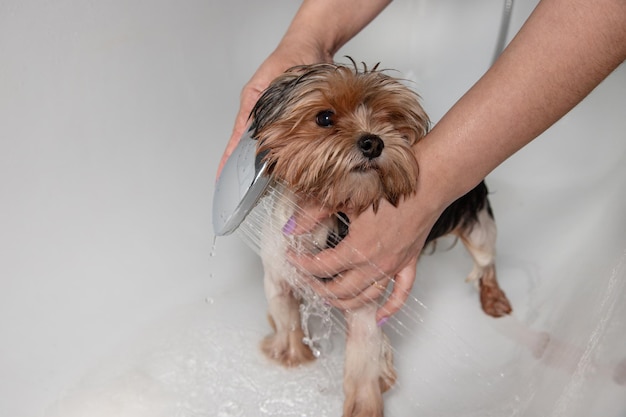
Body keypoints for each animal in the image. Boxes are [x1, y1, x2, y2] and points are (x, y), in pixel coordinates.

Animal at [246, 61, 510, 416]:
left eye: (390, 119)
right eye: (324, 117)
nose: (373, 142)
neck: (325, 213)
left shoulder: (361, 290)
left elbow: (361, 359)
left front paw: (365, 406)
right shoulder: (278, 270)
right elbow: (285, 313)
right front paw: (288, 355)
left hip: (477, 218)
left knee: (486, 259)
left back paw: (494, 299)